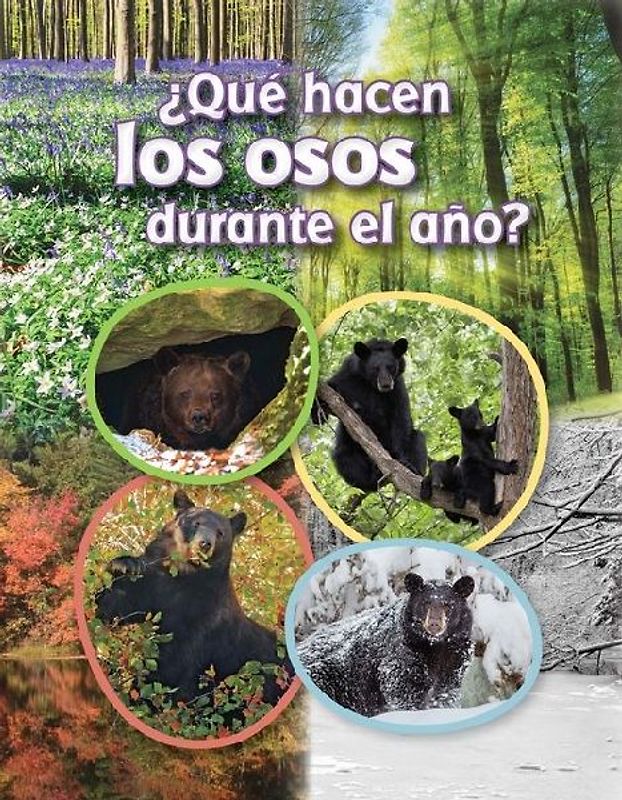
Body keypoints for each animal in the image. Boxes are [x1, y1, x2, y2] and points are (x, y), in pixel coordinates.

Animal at [95, 489, 292, 709]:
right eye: (195, 523)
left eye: (220, 533)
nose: (205, 544)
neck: (184, 577)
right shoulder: (154, 586)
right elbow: (116, 606)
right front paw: (125, 565)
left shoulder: (205, 619)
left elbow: (177, 666)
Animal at [296, 572, 474, 717]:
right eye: (425, 603)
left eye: (448, 604)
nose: (434, 624)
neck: (434, 645)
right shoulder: (404, 650)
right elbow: (402, 686)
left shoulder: (455, 656)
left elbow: (446, 690)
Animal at [313, 338, 427, 492]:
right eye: (375, 368)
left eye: (391, 367)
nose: (385, 384)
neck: (371, 385)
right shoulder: (346, 377)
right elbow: (328, 395)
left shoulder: (397, 388)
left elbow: (401, 420)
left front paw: (405, 463)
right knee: (344, 457)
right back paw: (371, 479)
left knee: (417, 438)